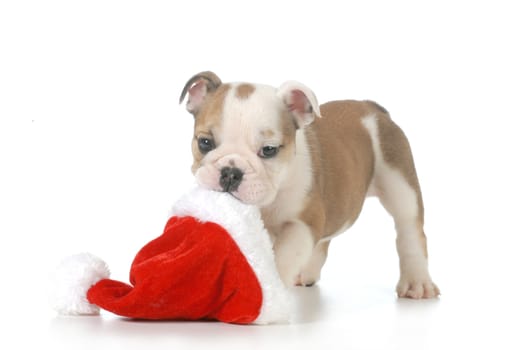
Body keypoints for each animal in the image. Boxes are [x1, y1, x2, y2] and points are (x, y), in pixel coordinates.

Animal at [178, 71, 440, 298]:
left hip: (399, 181)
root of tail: (371, 107)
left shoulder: (302, 223)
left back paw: (417, 283)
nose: (231, 172)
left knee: (409, 229)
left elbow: (283, 255)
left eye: (269, 150)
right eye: (204, 143)